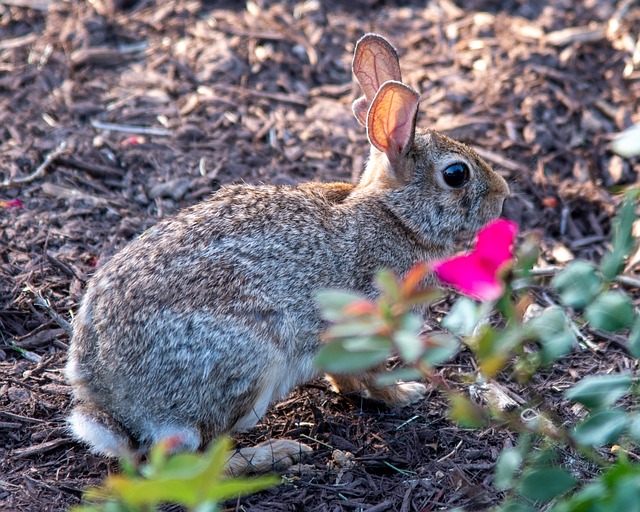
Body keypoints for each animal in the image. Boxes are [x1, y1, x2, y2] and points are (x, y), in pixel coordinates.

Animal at [65, 32, 510, 474]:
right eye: (456, 174)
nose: (503, 195)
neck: (396, 215)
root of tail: (111, 401)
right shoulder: (365, 327)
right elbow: (370, 375)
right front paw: (405, 393)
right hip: (248, 362)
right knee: (195, 457)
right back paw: (275, 452)